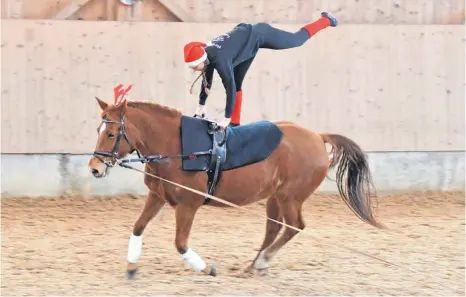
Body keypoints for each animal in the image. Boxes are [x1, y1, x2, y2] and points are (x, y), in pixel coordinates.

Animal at [87, 88, 382, 278]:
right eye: (98, 130)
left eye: (111, 133)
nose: (94, 169)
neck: (176, 148)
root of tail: (318, 137)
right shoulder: (156, 196)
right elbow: (138, 227)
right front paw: (131, 266)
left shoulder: (188, 205)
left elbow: (180, 243)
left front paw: (206, 268)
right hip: (275, 197)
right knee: (274, 229)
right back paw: (256, 265)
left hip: (290, 197)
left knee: (294, 227)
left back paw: (262, 261)